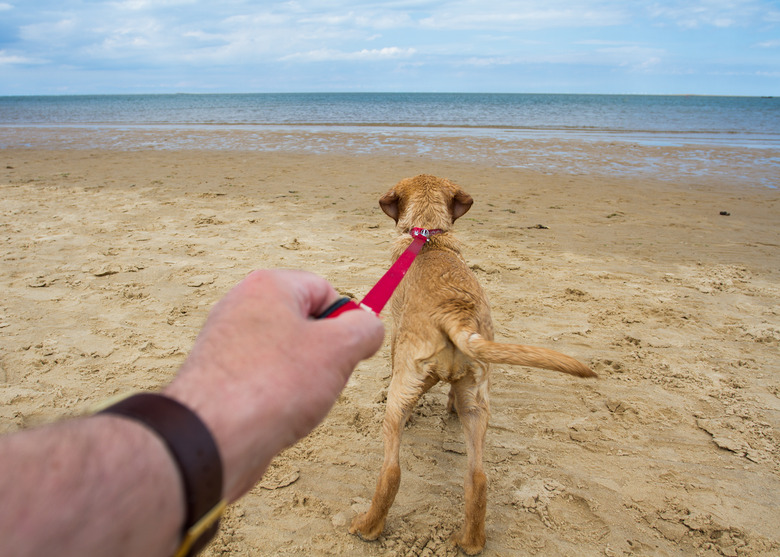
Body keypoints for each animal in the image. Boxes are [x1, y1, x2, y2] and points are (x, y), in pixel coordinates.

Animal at [348, 173, 596, 552]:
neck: (430, 237)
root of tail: (455, 313)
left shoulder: (395, 336)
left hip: (401, 394)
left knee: (392, 471)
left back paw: (367, 526)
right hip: (477, 401)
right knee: (478, 477)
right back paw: (470, 541)